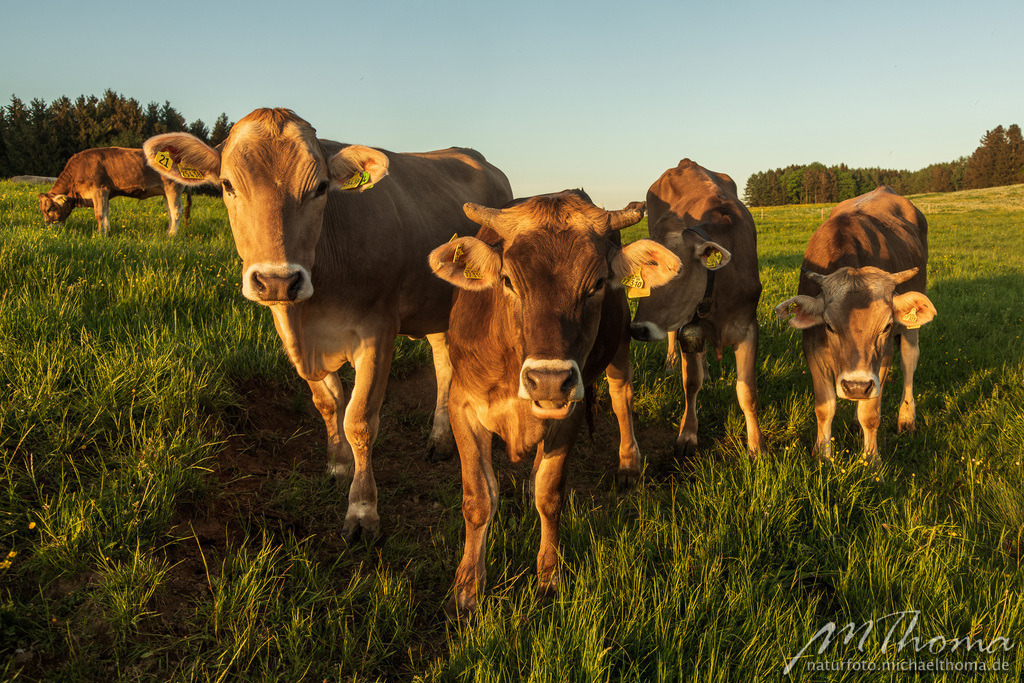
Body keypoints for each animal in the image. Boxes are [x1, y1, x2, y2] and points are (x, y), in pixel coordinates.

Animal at [38, 147, 188, 236]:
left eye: (49, 208)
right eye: (42, 210)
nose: (48, 227)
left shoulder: (99, 189)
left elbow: (99, 214)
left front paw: (100, 234)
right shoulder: (106, 192)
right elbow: (106, 212)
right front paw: (107, 231)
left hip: (173, 187)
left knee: (176, 210)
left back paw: (171, 235)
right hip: (165, 191)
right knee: (170, 210)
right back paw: (168, 231)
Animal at [142, 108, 513, 540]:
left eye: (320, 188)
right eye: (228, 185)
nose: (278, 280)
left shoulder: (378, 332)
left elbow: (360, 420)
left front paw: (363, 511)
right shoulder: (293, 333)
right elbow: (327, 403)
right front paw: (337, 466)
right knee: (442, 361)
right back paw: (439, 438)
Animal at [429, 190, 681, 618]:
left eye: (597, 283)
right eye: (508, 281)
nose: (548, 380)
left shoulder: (570, 412)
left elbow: (549, 495)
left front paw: (548, 576)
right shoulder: (462, 406)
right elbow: (479, 498)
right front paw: (467, 587)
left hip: (619, 349)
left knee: (622, 399)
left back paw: (629, 463)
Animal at [629, 159, 764, 459]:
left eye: (677, 269)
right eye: (642, 272)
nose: (638, 330)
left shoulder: (748, 326)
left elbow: (747, 392)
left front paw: (757, 445)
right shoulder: (687, 327)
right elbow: (691, 383)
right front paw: (688, 434)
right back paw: (671, 363)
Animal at [774, 186, 936, 462]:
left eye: (885, 326)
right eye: (829, 326)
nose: (857, 385)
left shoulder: (883, 356)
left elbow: (870, 414)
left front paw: (871, 461)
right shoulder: (813, 349)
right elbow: (825, 408)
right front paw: (822, 455)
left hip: (910, 328)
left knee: (909, 362)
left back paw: (906, 419)